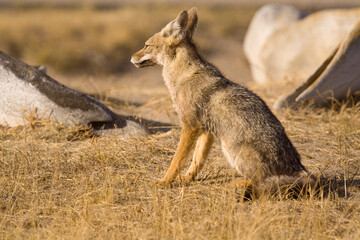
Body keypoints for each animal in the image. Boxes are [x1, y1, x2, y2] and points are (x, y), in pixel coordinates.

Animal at [131, 7, 316, 196]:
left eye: (146, 45)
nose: (131, 57)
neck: (183, 76)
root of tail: (300, 170)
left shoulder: (190, 126)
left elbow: (176, 161)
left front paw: (165, 181)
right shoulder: (206, 131)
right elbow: (197, 160)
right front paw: (187, 178)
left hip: (231, 149)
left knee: (261, 185)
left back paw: (241, 185)